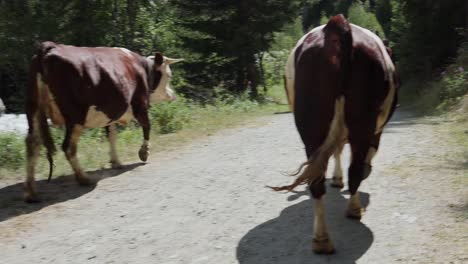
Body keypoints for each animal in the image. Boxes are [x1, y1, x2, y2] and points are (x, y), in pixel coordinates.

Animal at [24, 41, 183, 202]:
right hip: (76, 116)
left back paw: (32, 192)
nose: (173, 95)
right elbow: (147, 126)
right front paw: (144, 152)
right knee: (68, 147)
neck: (142, 68)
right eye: (168, 75)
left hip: (33, 109)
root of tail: (51, 46)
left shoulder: (112, 112)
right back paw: (83, 178)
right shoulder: (140, 103)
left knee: (32, 144)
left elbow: (112, 135)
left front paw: (116, 161)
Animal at [270, 14, 398, 254]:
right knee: (355, 170)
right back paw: (354, 210)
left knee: (317, 180)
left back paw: (321, 240)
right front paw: (353, 175)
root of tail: (337, 25)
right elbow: (361, 155)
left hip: (312, 128)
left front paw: (337, 180)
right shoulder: (377, 131)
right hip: (363, 124)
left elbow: (336, 151)